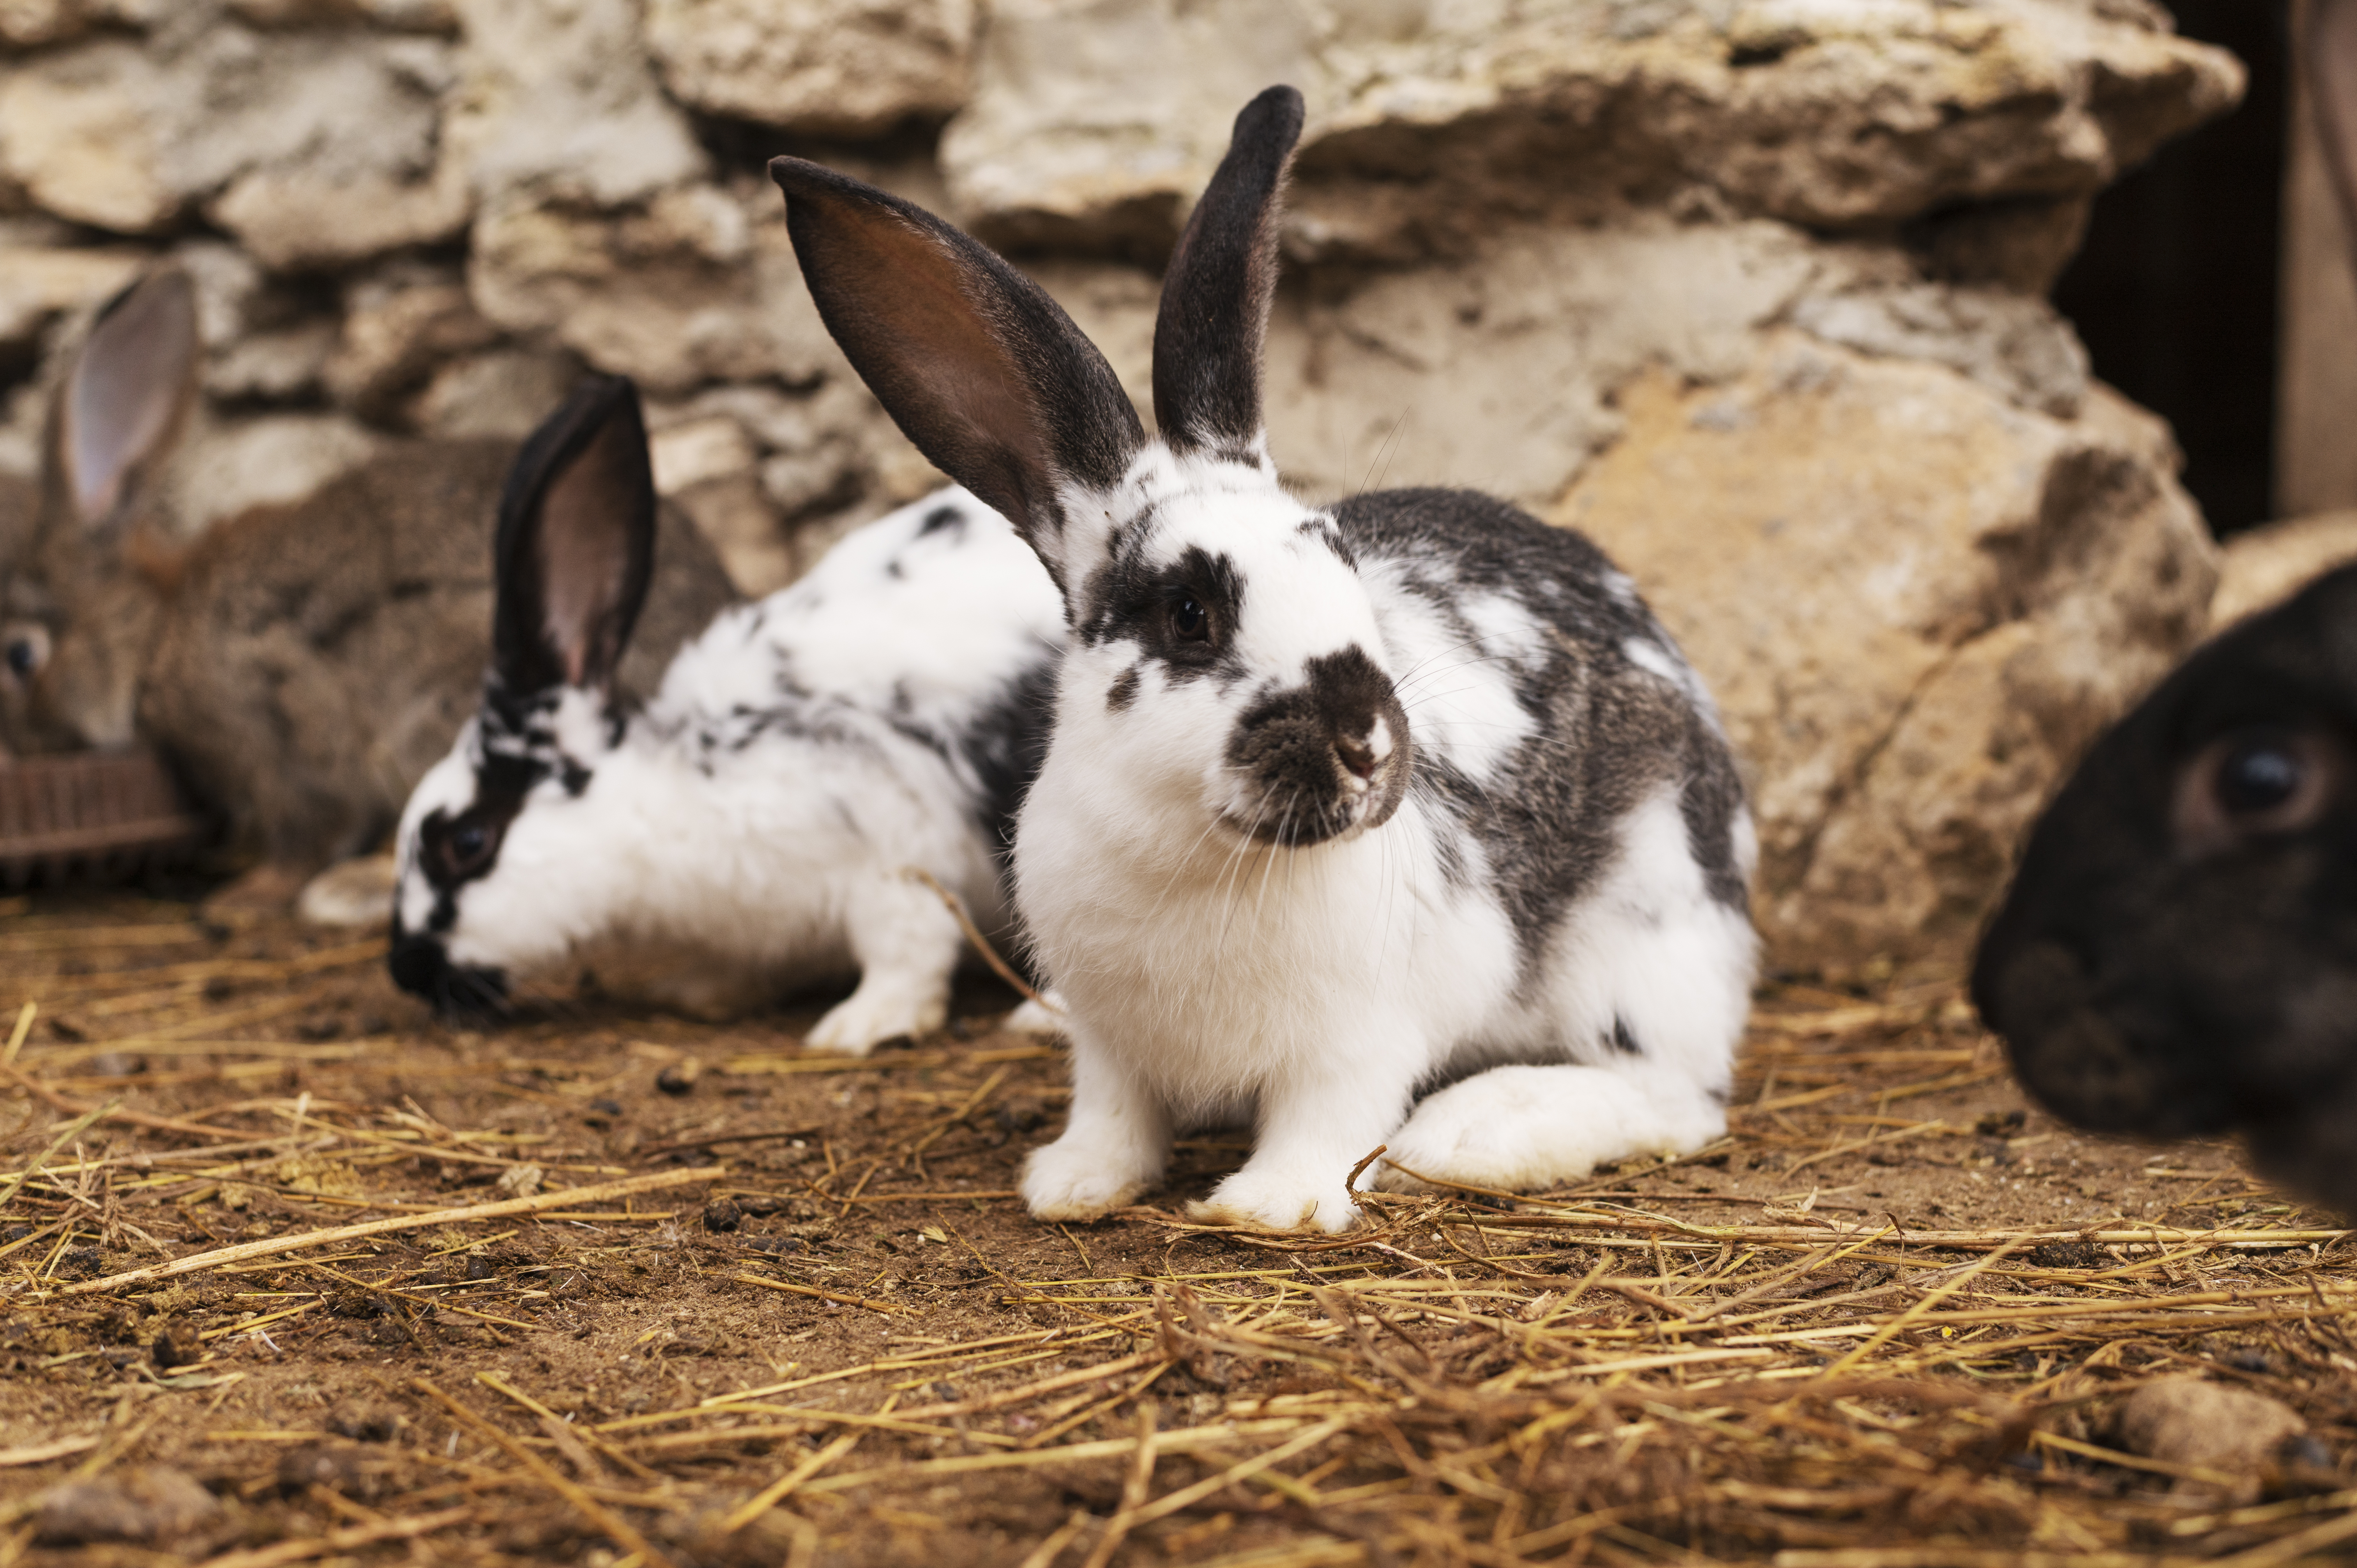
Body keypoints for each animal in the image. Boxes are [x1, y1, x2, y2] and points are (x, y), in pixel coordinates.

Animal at [0, 268, 736, 898]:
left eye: (20, 654)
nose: (23, 744)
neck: (155, 635)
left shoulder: (274, 727)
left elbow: (309, 826)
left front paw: (247, 894)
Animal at [383, 377, 1067, 1053]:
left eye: (468, 843)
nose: (406, 970)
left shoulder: (894, 848)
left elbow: (907, 948)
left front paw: (861, 1025)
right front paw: (697, 992)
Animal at [767, 84, 1758, 1232]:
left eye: (1342, 564)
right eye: (1189, 612)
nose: (1368, 742)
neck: (1196, 851)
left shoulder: (1360, 1036)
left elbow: (1328, 1120)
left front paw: (1266, 1206)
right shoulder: (1110, 1042)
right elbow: (1113, 1113)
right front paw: (1074, 1186)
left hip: (1645, 935)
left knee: (1676, 1094)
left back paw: (1472, 1133)